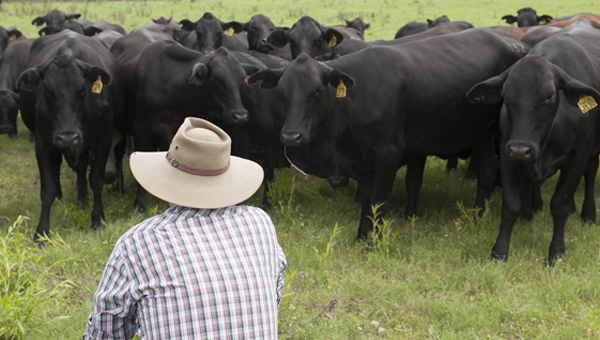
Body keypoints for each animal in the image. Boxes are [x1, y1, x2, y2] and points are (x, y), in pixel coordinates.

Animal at [16, 31, 122, 242]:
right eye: (48, 92)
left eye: (81, 91)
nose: (67, 137)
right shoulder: (42, 142)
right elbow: (46, 188)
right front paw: (42, 231)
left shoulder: (103, 138)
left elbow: (96, 179)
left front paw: (97, 220)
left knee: (81, 169)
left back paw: (82, 198)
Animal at [251, 27, 528, 238]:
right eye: (282, 92)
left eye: (317, 91)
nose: (291, 136)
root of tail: (515, 44)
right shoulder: (362, 160)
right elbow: (366, 201)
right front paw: (362, 236)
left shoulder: (388, 154)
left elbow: (378, 200)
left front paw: (372, 242)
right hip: (480, 133)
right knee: (487, 171)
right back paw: (476, 216)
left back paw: (478, 217)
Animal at [466, 24, 600, 262]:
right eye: (507, 96)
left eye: (549, 96)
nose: (521, 149)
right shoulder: (508, 153)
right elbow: (510, 206)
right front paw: (499, 251)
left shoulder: (579, 155)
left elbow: (560, 203)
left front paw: (557, 252)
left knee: (591, 172)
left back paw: (588, 214)